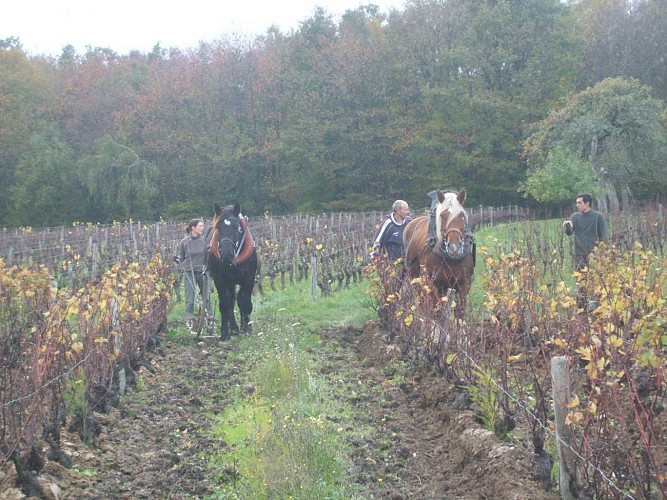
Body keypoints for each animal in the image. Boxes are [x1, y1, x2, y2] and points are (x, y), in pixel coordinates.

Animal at [207, 202, 260, 340]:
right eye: (218, 228)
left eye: (237, 228)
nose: (226, 254)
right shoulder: (219, 279)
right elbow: (225, 302)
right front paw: (225, 332)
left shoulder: (249, 277)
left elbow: (244, 299)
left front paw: (246, 326)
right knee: (229, 299)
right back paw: (233, 328)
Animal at [404, 189, 478, 318]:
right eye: (442, 216)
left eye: (462, 215)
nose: (454, 247)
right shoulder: (432, 284)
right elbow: (437, 313)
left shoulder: (464, 284)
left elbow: (459, 313)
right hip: (416, 280)